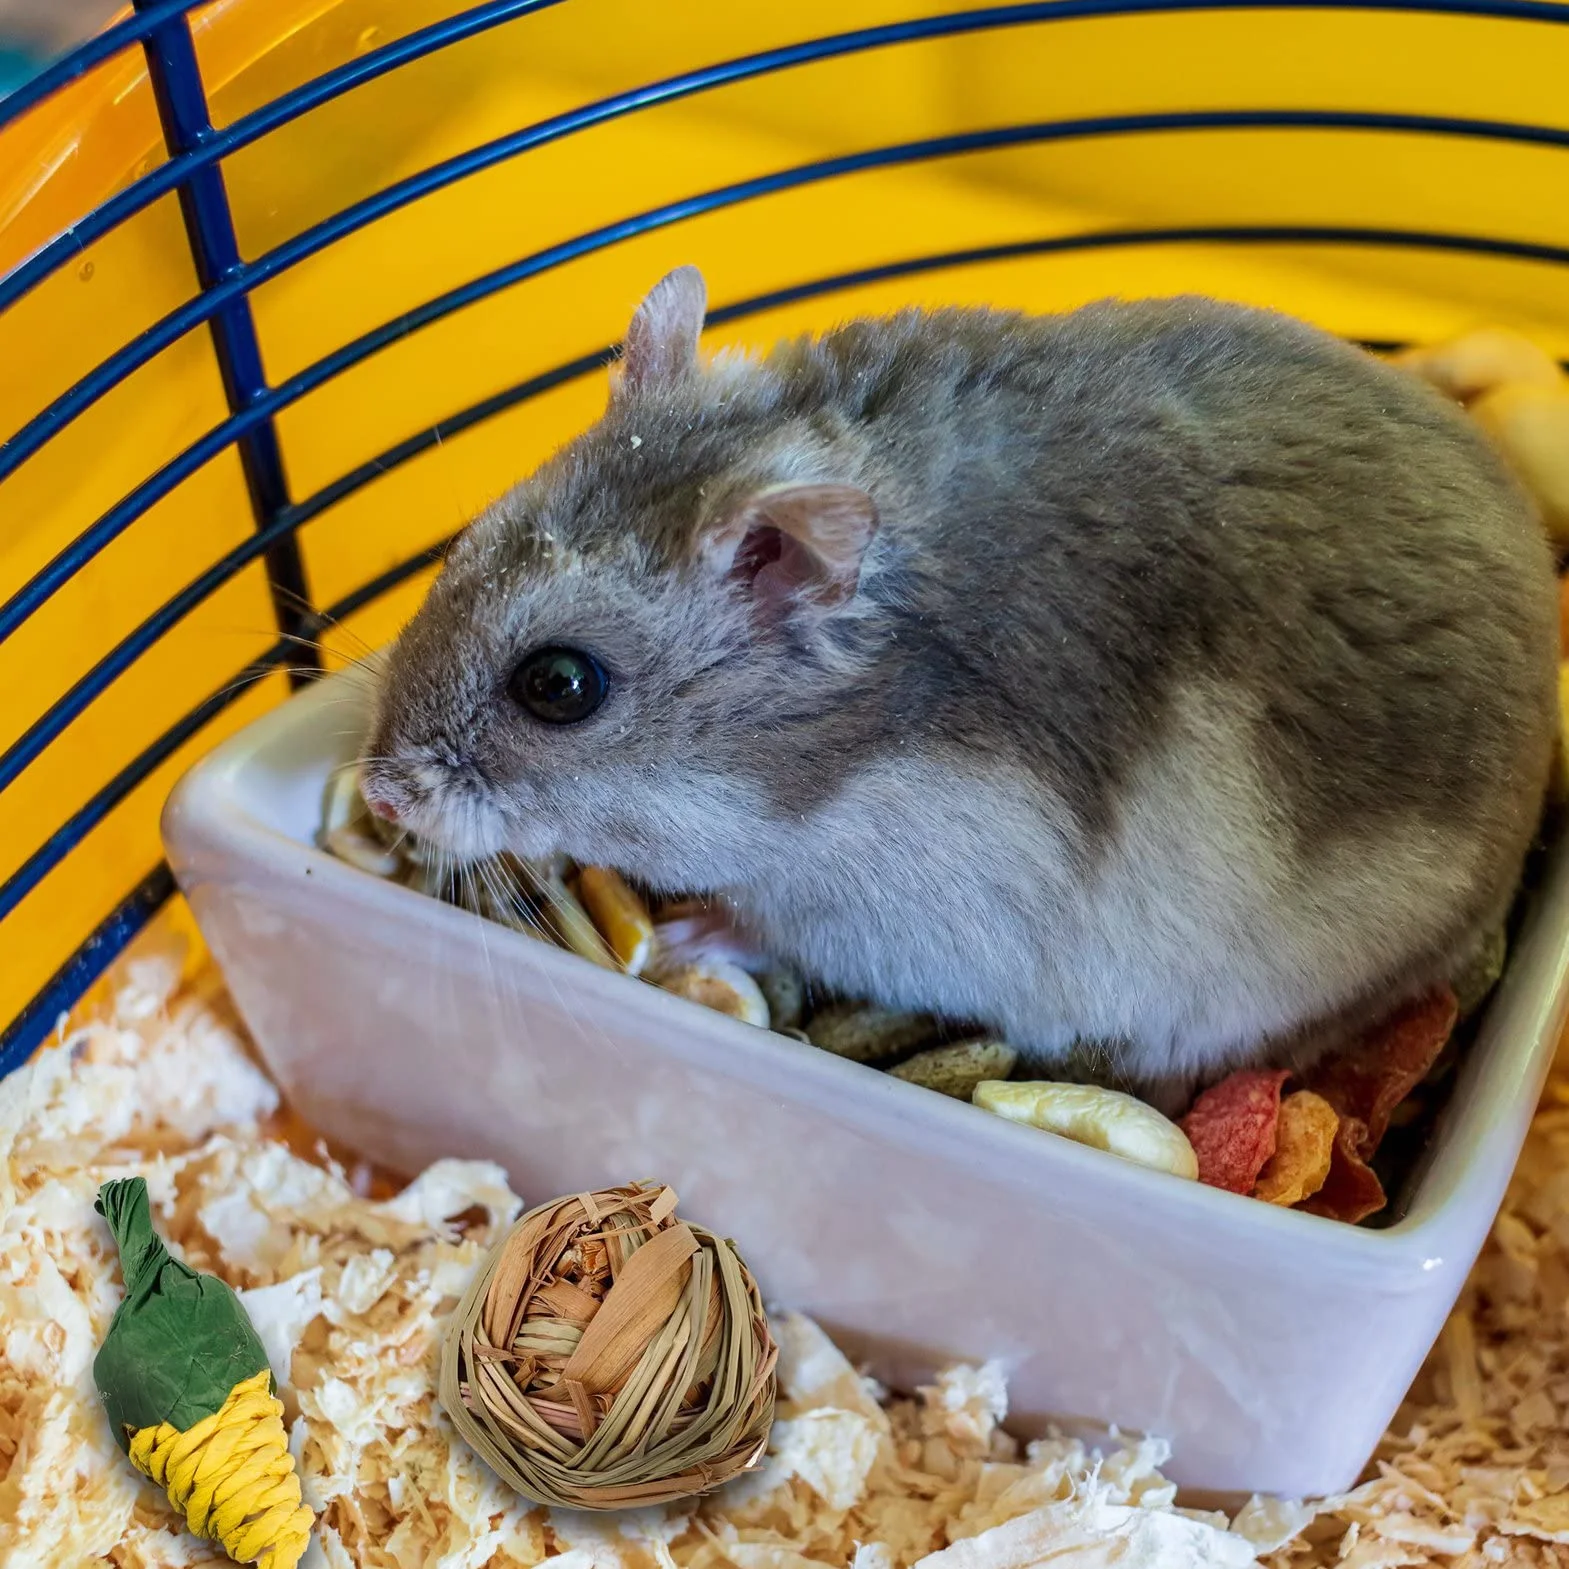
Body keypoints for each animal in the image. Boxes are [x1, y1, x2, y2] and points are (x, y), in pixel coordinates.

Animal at [360, 266, 1559, 1105]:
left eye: (559, 685)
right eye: (462, 547)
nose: (379, 792)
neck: (826, 761)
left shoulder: (899, 902)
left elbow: (765, 925)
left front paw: (693, 937)